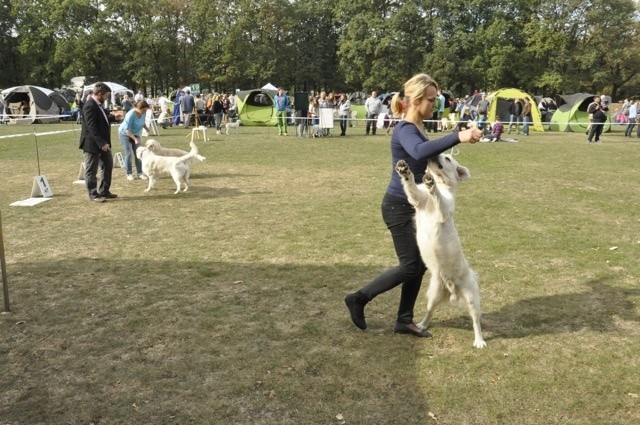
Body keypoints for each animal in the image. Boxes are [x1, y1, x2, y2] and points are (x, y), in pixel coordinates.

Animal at [396, 154, 484, 346]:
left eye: (448, 158)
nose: (433, 155)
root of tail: (451, 286)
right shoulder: (417, 199)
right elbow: (411, 186)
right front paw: (405, 170)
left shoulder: (444, 210)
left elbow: (439, 199)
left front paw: (431, 184)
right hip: (433, 294)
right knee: (430, 311)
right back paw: (421, 325)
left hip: (471, 297)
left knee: (476, 320)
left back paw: (479, 341)